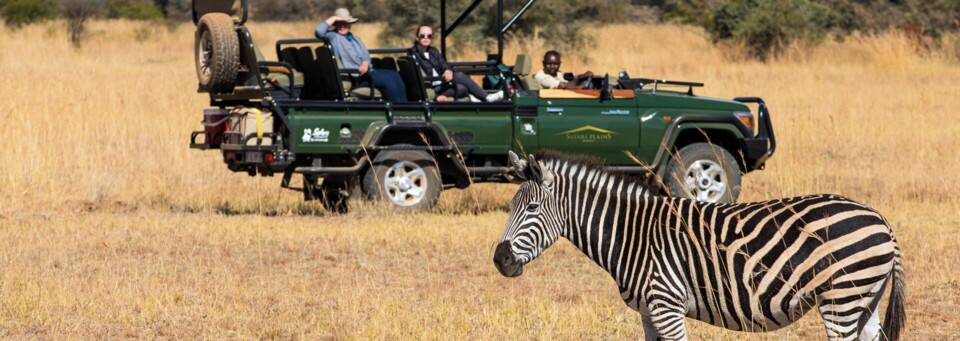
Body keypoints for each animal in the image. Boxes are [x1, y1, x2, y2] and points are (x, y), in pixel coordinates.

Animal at [492, 151, 904, 340]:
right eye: (510, 206)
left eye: (531, 208)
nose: (500, 260)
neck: (633, 234)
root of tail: (881, 220)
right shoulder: (649, 312)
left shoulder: (668, 306)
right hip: (863, 301)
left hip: (841, 299)